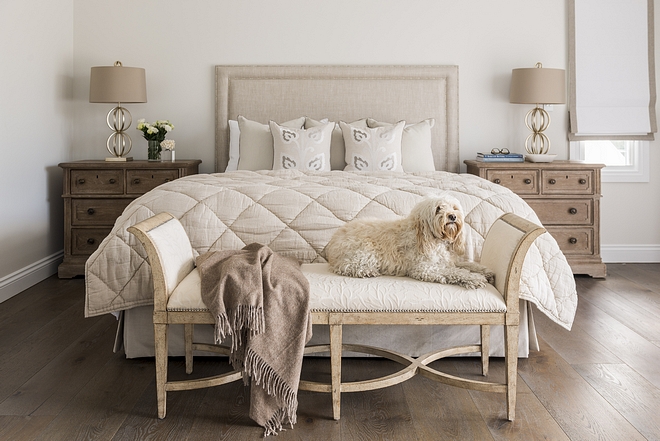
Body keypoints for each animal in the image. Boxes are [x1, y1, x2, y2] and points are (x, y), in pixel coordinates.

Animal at [324, 196, 496, 288]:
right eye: (438, 209)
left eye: (454, 207)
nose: (452, 216)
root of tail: (333, 240)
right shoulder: (424, 268)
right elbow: (454, 271)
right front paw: (474, 278)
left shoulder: (448, 261)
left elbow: (466, 265)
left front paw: (485, 271)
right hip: (365, 251)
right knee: (344, 266)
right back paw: (366, 271)